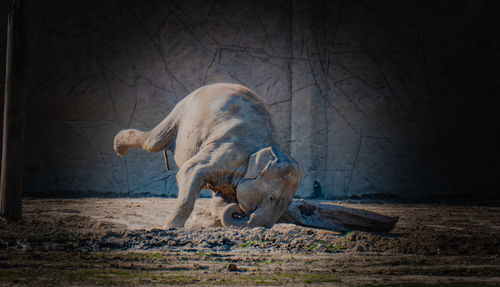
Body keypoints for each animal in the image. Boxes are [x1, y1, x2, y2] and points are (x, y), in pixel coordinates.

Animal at [115, 83, 302, 230]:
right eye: (271, 197)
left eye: (287, 203)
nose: (240, 213)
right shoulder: (229, 151)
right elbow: (190, 171)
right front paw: (170, 227)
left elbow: (222, 199)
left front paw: (214, 220)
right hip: (180, 113)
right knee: (154, 141)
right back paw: (119, 147)